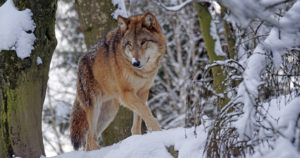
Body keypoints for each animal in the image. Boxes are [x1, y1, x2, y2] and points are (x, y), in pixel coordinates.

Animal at [70, 12, 166, 151]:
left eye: (143, 42)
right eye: (129, 44)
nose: (136, 63)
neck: (142, 73)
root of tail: (80, 62)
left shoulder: (143, 92)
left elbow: (139, 118)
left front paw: (137, 138)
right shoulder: (126, 94)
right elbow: (146, 110)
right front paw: (159, 131)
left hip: (109, 112)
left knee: (89, 140)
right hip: (95, 108)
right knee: (91, 138)